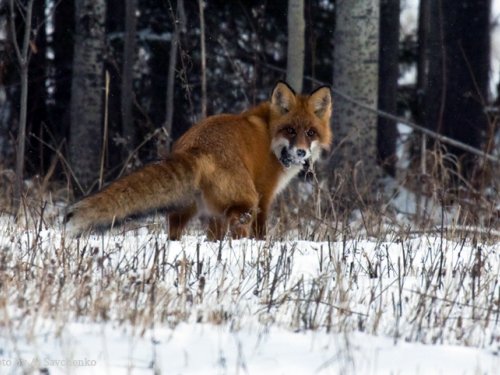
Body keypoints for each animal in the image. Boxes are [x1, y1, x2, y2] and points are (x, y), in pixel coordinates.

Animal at [65, 82, 332, 241]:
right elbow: (262, 232)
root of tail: (196, 145)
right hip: (245, 204)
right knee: (237, 229)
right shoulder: (264, 196)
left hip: (192, 209)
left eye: (310, 133)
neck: (269, 135)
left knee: (181, 232)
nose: (301, 153)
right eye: (290, 130)